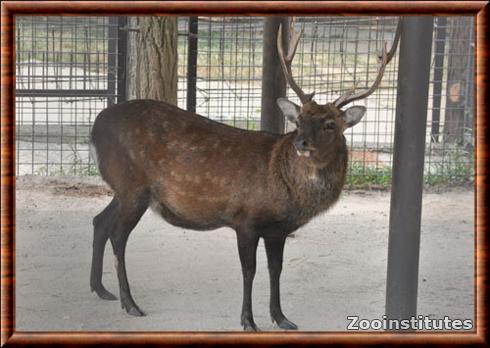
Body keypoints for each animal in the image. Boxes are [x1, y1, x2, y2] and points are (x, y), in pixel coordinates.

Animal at [90, 17, 400, 330]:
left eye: (330, 124)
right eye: (299, 120)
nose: (301, 143)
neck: (285, 189)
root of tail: (95, 128)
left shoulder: (277, 230)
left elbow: (276, 269)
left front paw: (282, 317)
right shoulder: (245, 219)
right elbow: (249, 271)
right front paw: (248, 320)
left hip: (123, 189)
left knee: (100, 221)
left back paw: (100, 289)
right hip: (132, 186)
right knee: (118, 235)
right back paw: (130, 303)